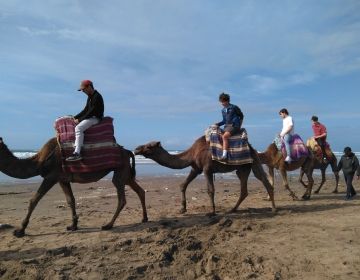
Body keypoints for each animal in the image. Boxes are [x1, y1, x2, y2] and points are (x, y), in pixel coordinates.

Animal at [0, 137, 148, 237]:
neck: (39, 162)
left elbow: (34, 200)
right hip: (126, 174)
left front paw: (20, 231)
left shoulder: (51, 177)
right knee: (140, 191)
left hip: (120, 171)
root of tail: (127, 151)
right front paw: (73, 226)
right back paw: (144, 218)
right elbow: (70, 200)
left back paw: (108, 225)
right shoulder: (62, 179)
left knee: (121, 198)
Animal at [134, 137, 278, 215]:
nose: (136, 149)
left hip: (253, 162)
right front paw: (182, 209)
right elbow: (183, 185)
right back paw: (232, 209)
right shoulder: (196, 168)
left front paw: (212, 212)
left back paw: (273, 209)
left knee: (264, 181)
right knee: (245, 189)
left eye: (149, 146)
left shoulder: (207, 168)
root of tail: (252, 148)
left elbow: (210, 190)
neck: (192, 153)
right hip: (243, 169)